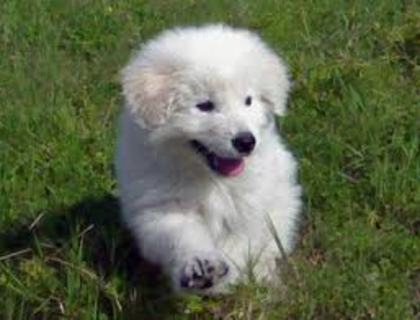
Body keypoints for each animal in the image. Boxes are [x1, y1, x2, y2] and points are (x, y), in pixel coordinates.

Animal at [116, 25, 300, 296]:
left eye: (248, 101)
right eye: (204, 106)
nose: (246, 142)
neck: (210, 179)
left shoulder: (250, 209)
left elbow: (238, 243)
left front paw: (224, 280)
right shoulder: (163, 209)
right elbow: (181, 236)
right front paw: (202, 269)